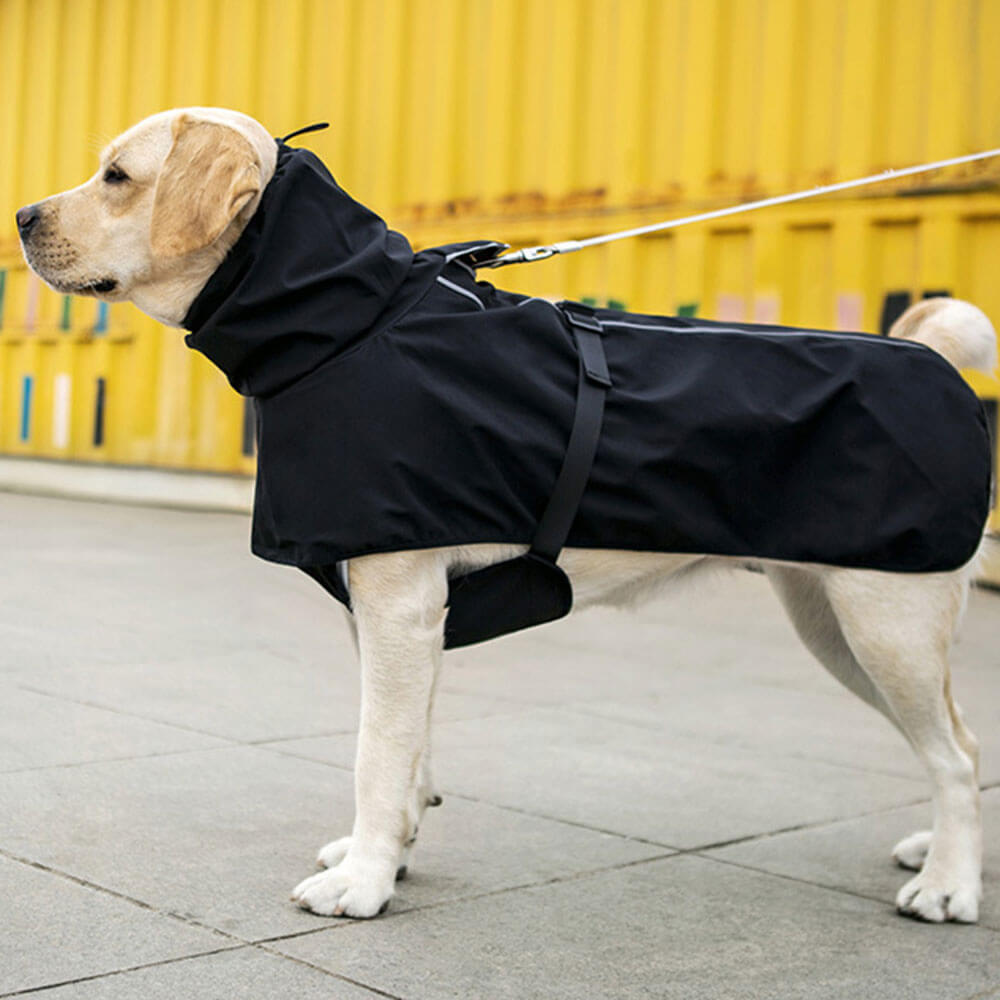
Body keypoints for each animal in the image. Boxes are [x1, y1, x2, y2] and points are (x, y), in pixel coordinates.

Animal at [17, 107, 1000, 920]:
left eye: (117, 176)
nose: (23, 218)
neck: (348, 322)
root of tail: (931, 360)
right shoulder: (394, 615)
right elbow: (409, 756)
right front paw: (391, 856)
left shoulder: (400, 608)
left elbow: (375, 754)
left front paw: (362, 885)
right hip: (834, 625)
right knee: (956, 745)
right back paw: (938, 853)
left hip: (885, 626)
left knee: (957, 754)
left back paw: (949, 885)